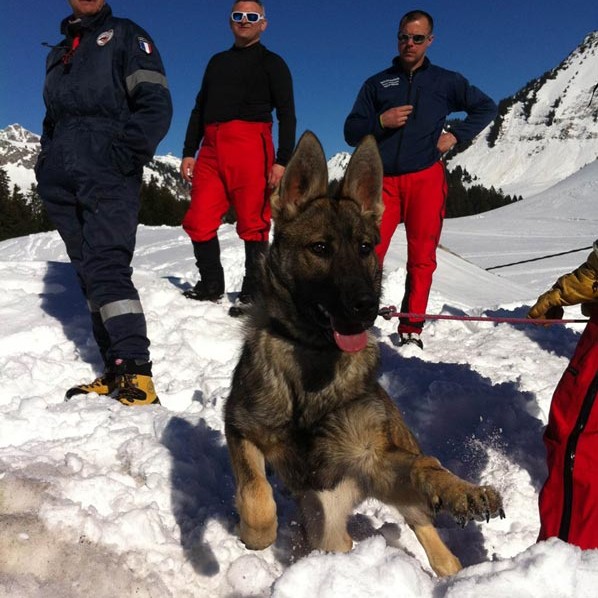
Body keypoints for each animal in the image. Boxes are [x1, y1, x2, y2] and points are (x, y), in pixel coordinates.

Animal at [225, 132, 506, 580]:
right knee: (338, 539)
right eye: (320, 247)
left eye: (363, 247)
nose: (367, 306)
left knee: (424, 517)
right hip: (326, 522)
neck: (314, 359)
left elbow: (426, 465)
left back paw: (453, 566)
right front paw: (258, 534)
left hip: (389, 475)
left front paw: (464, 490)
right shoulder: (240, 426)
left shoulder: (375, 458)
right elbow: (255, 489)